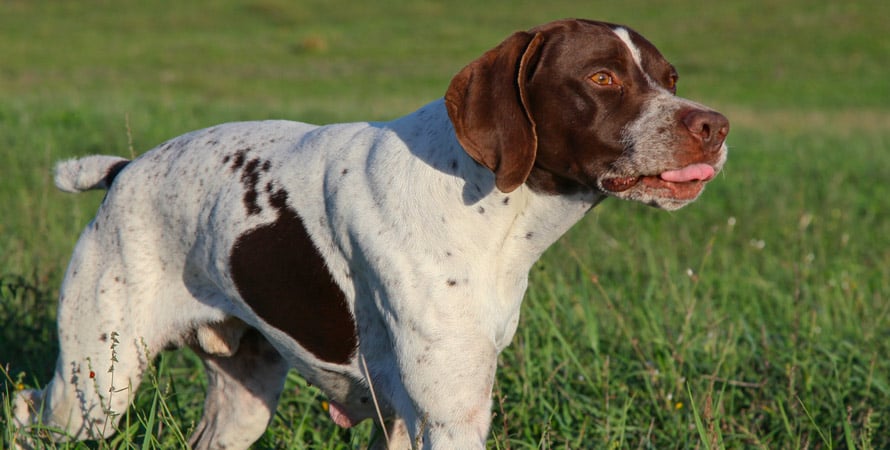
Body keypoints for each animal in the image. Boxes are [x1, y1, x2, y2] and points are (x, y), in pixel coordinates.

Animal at [10, 18, 724, 450]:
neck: (488, 206)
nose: (713, 126)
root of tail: (124, 171)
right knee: (26, 410)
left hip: (239, 402)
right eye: (602, 77)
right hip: (94, 388)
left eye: (671, 79)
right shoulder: (450, 416)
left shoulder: (410, 419)